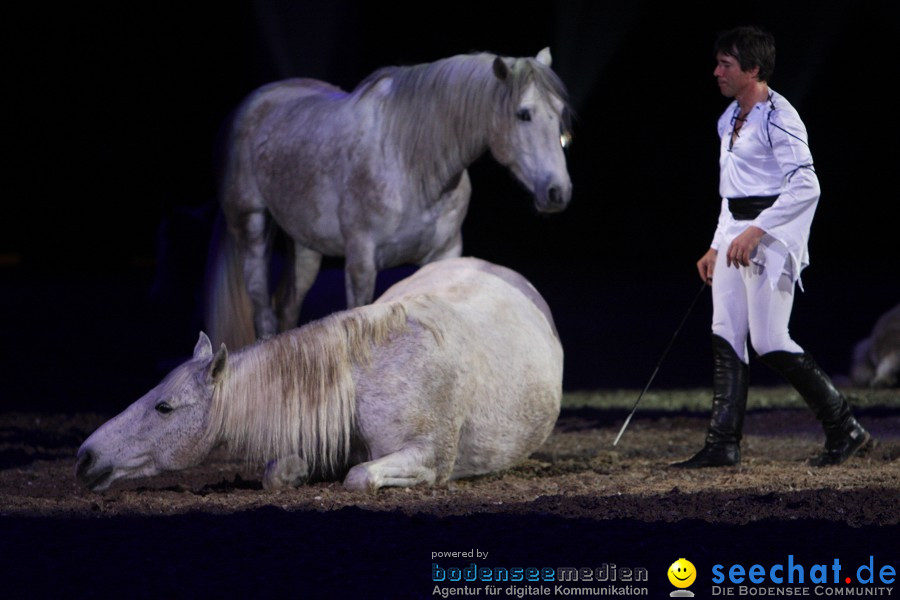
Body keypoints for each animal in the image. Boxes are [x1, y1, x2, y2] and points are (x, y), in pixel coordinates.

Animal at [75, 258, 564, 492]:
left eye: (164, 407)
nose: (85, 457)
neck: (359, 378)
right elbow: (278, 474)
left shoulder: (427, 455)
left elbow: (361, 477)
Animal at [205, 49, 572, 350]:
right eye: (523, 114)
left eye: (559, 114)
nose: (558, 191)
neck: (409, 160)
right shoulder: (361, 263)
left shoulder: (445, 254)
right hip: (252, 228)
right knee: (263, 311)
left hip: (306, 247)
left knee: (287, 308)